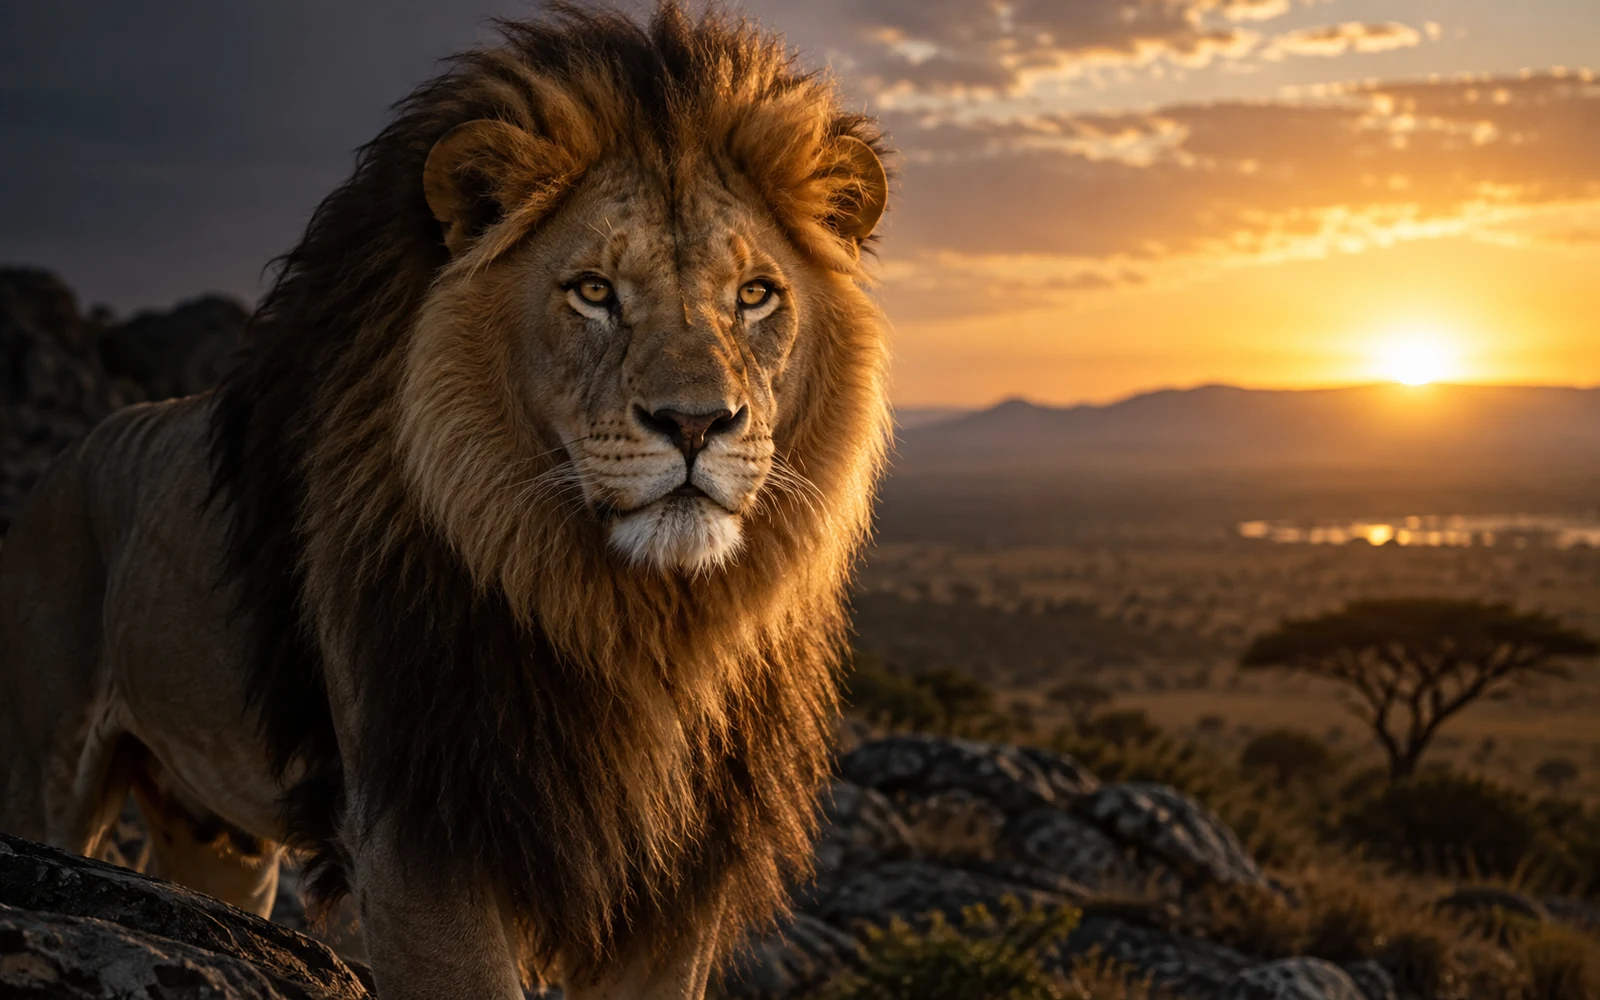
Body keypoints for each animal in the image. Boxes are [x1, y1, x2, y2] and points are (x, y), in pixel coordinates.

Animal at [0, 6, 891, 997]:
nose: (695, 422)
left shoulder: (678, 880)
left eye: (756, 296)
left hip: (219, 838)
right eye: (594, 292)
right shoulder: (422, 829)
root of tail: (67, 459)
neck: (636, 623)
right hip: (48, 758)